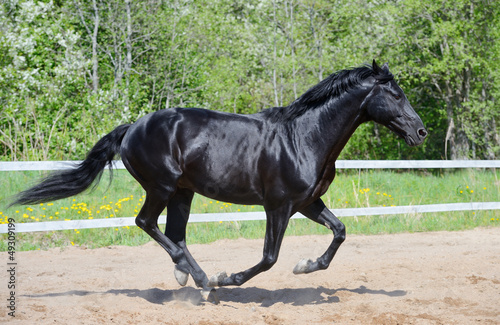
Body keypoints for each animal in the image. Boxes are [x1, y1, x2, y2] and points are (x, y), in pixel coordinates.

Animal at [11, 60, 426, 302]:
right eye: (396, 94)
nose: (420, 132)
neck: (303, 138)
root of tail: (133, 128)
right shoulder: (278, 206)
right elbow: (269, 258)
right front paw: (229, 277)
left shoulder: (308, 203)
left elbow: (339, 232)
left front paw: (305, 266)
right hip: (161, 187)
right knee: (146, 223)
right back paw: (203, 279)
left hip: (183, 193)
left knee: (174, 234)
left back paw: (189, 276)